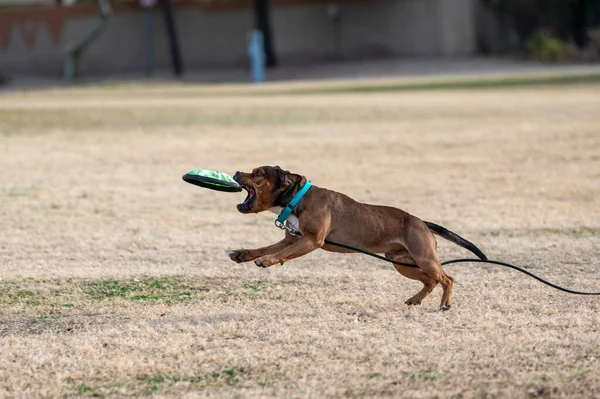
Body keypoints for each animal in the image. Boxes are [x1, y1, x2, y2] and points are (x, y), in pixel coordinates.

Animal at [230, 166, 488, 310]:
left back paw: (445, 304)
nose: (236, 172)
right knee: (430, 282)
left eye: (258, 173)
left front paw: (266, 261)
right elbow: (267, 247)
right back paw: (415, 300)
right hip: (402, 262)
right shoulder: (292, 239)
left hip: (424, 259)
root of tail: (422, 222)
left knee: (447, 279)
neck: (296, 199)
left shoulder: (311, 241)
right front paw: (243, 254)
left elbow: (280, 253)